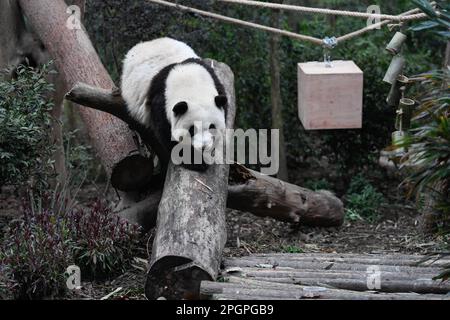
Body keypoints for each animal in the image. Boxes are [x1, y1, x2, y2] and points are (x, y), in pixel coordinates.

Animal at [121, 37, 227, 170]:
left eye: (212, 126)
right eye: (192, 129)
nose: (203, 147)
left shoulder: (213, 79)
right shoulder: (161, 103)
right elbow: (168, 135)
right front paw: (196, 161)